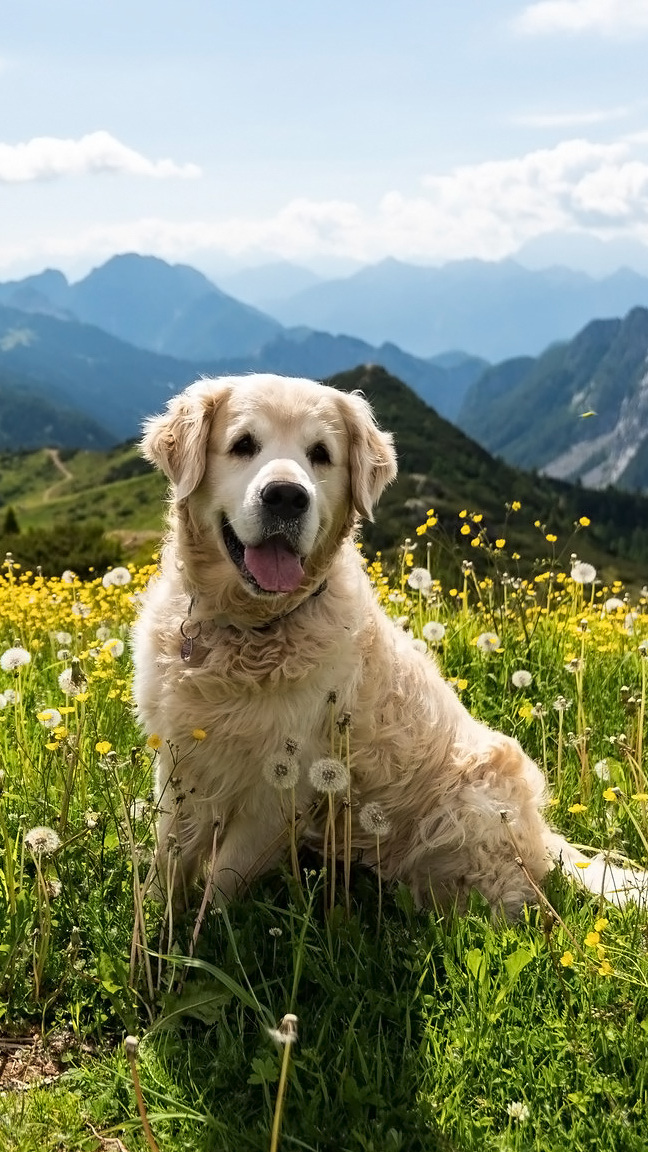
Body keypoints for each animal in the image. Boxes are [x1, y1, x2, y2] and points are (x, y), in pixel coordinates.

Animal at [132, 373, 645, 912]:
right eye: (243, 445)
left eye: (321, 453)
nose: (287, 497)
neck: (243, 627)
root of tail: (544, 839)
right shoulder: (177, 765)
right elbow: (166, 864)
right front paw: (156, 927)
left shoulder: (279, 790)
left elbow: (221, 888)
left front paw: (206, 931)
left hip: (469, 806)